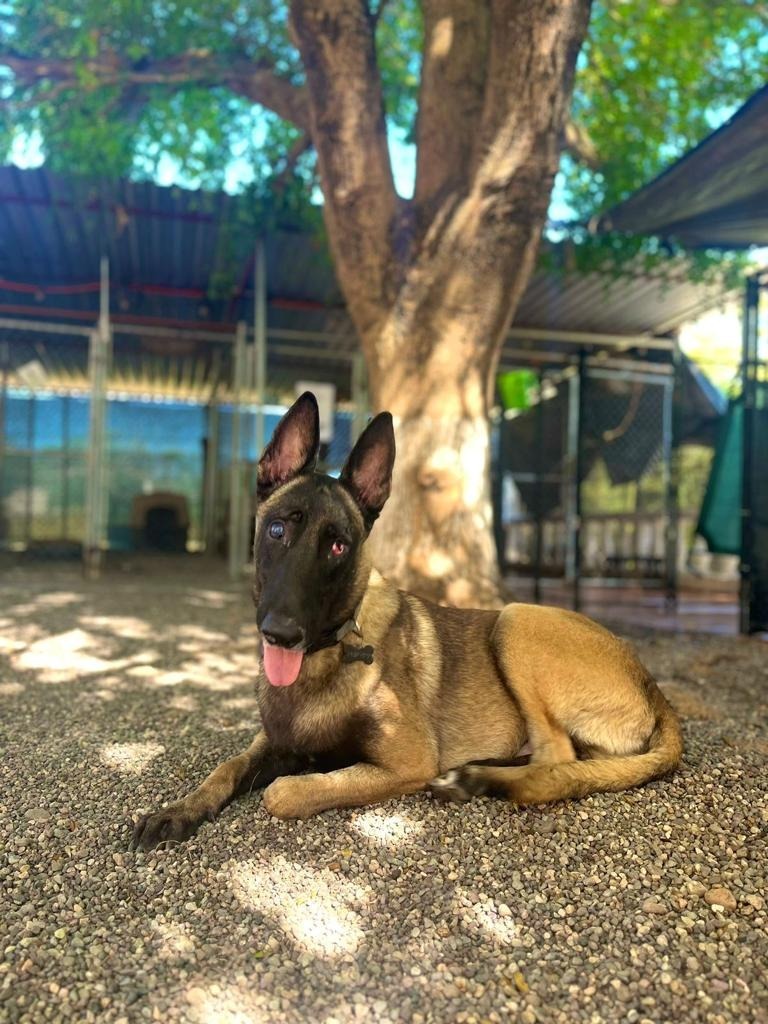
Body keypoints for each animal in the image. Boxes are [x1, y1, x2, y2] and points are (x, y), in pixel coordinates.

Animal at [132, 391, 684, 847]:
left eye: (338, 546)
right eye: (276, 530)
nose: (282, 634)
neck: (328, 656)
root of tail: (655, 692)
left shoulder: (406, 760)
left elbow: (283, 793)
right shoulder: (270, 742)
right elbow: (225, 768)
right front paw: (177, 811)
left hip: (515, 621)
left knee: (557, 759)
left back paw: (478, 777)